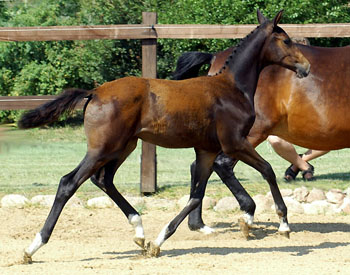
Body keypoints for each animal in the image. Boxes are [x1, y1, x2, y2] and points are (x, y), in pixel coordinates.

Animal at [18, 9, 308, 262]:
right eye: (286, 40)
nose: (305, 66)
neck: (232, 87)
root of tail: (94, 92)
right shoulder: (235, 143)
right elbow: (268, 170)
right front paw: (282, 223)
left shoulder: (207, 150)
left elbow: (196, 196)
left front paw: (158, 243)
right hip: (102, 148)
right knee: (69, 183)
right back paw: (33, 247)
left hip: (124, 146)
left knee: (103, 180)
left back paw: (139, 232)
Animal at [174, 26, 350, 237]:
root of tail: (216, 58)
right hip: (245, 136)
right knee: (221, 165)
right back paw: (249, 214)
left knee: (200, 167)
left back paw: (197, 223)